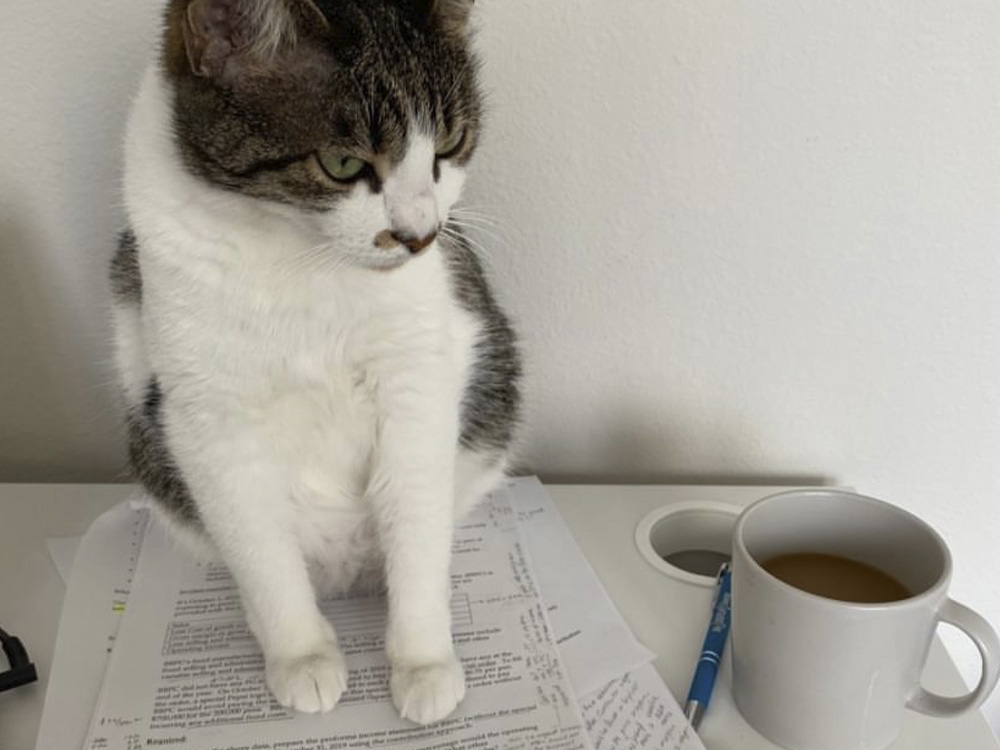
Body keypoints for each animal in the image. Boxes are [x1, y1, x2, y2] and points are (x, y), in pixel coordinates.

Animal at [112, 0, 524, 728]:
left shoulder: (415, 379)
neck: (301, 260)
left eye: (448, 146)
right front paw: (301, 655)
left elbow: (416, 522)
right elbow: (261, 550)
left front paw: (422, 660)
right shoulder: (208, 418)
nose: (420, 235)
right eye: (341, 163)